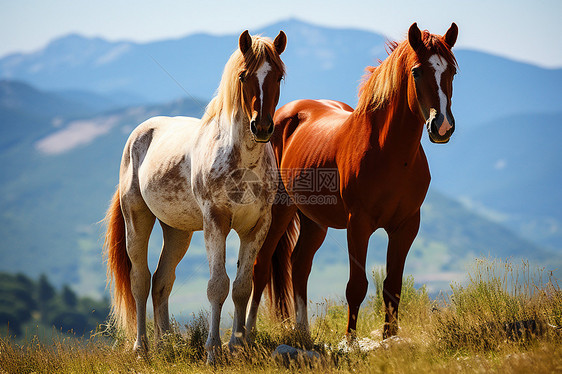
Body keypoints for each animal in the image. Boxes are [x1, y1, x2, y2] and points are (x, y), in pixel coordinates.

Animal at [247, 21, 458, 340]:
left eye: (453, 71)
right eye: (417, 71)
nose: (442, 126)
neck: (390, 153)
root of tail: (280, 116)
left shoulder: (406, 226)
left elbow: (393, 287)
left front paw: (390, 338)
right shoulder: (358, 225)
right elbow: (356, 286)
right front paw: (351, 340)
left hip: (315, 220)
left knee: (299, 265)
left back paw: (303, 332)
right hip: (279, 211)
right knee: (261, 266)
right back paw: (246, 334)